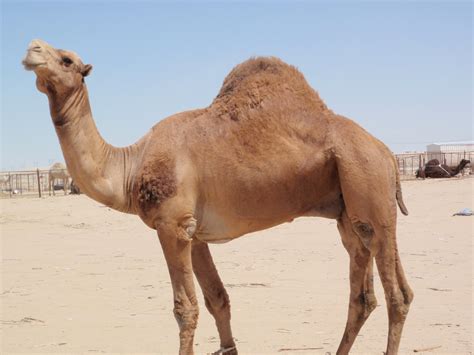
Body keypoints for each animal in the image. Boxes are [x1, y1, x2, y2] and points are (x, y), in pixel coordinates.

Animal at [23, 39, 412, 355]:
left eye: (67, 59)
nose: (32, 48)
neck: (131, 166)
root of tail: (387, 153)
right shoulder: (195, 234)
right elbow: (218, 300)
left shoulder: (173, 225)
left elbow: (185, 308)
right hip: (351, 214)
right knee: (369, 295)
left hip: (368, 185)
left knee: (395, 296)